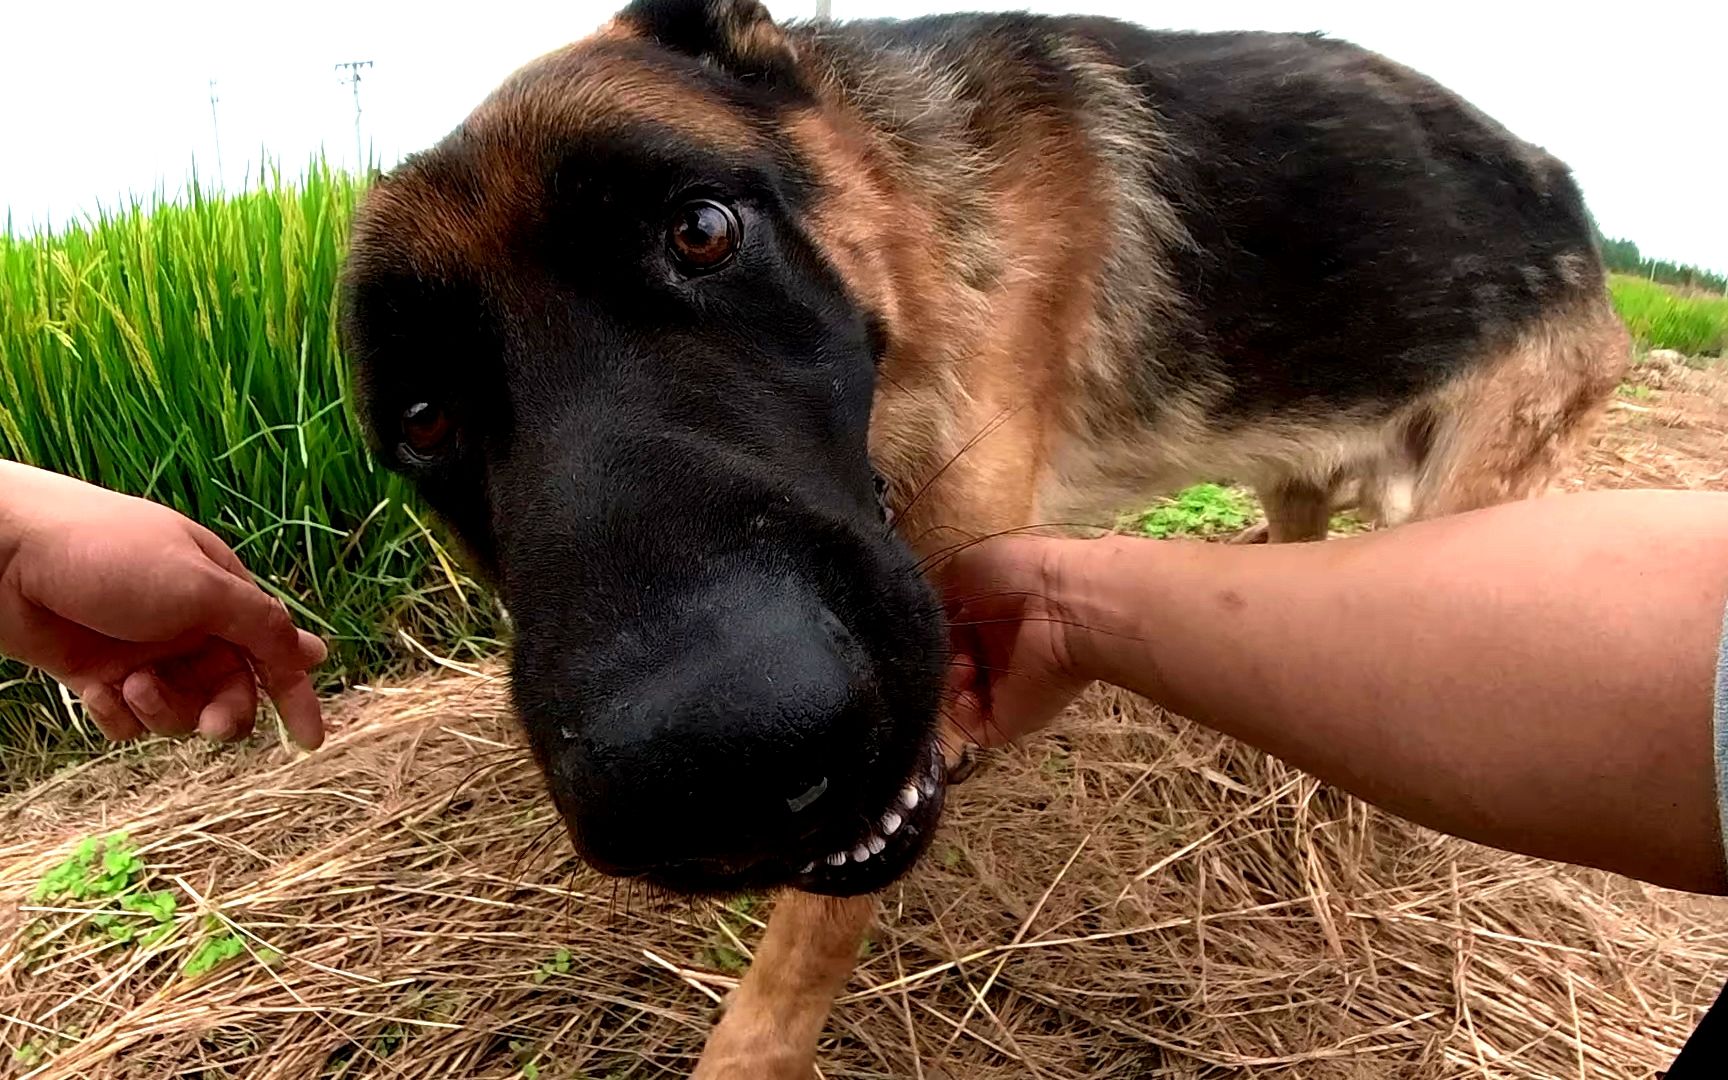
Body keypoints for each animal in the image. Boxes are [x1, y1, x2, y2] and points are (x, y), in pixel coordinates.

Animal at [340, 0, 1631, 1071]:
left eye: (701, 232)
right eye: (421, 420)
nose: (714, 766)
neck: (909, 237)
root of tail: (1566, 194)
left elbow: (800, 955)